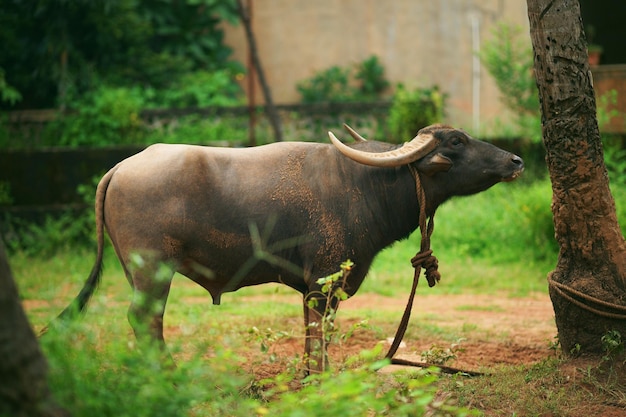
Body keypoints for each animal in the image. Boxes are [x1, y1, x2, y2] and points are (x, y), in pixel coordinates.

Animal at [54, 123, 520, 370]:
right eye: (456, 141)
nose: (515, 160)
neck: (365, 185)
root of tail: (119, 168)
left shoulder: (315, 286)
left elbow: (315, 333)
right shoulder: (323, 282)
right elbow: (319, 333)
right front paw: (320, 377)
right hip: (154, 270)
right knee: (145, 320)